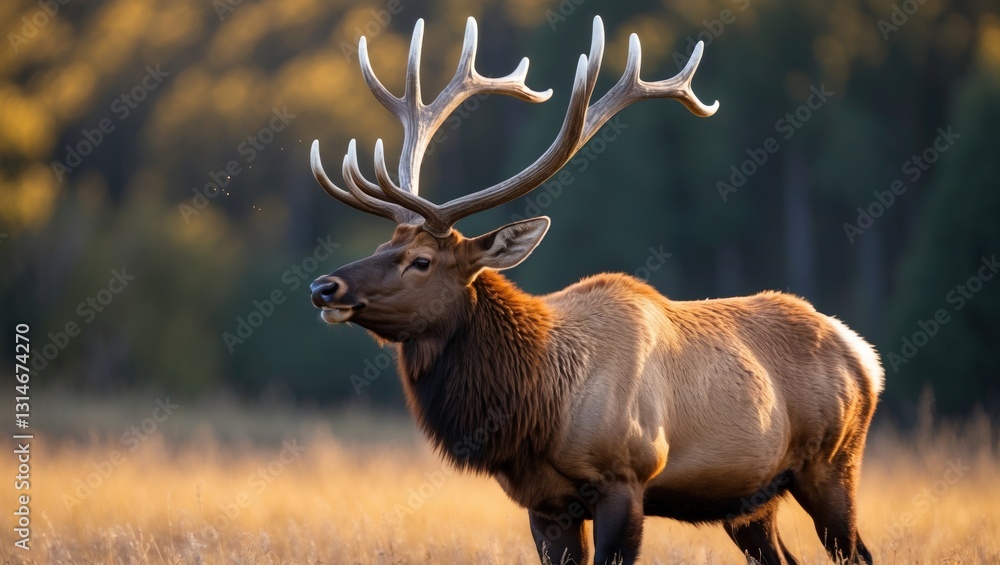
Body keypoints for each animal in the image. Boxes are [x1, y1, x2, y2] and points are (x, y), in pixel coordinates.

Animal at [308, 16, 882, 565]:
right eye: (384, 243)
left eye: (422, 261)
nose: (323, 286)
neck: (539, 410)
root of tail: (863, 354)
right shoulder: (544, 504)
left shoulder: (624, 477)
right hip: (751, 499)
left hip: (832, 462)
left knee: (858, 552)